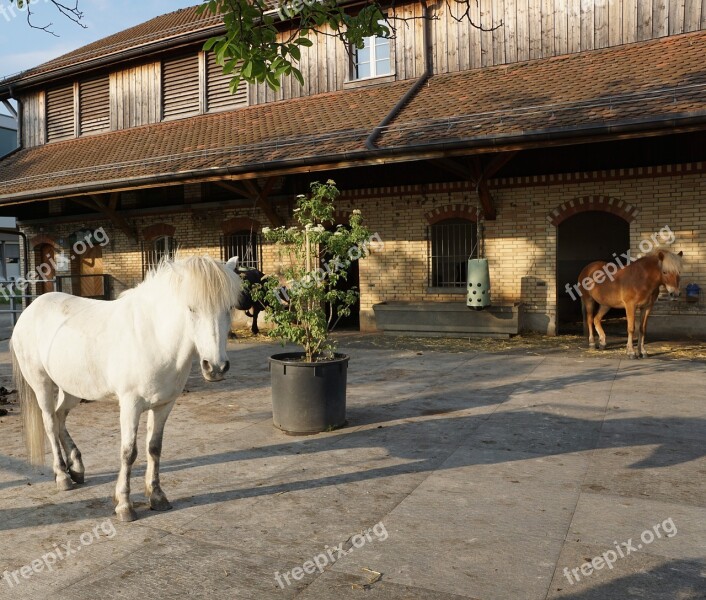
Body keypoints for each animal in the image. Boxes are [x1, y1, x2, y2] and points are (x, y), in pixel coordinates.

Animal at [11, 253, 245, 520]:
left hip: (72, 388)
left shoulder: (164, 405)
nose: (215, 367)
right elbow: (128, 452)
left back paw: (77, 468)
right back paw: (62, 476)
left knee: (60, 417)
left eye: (229, 308)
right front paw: (124, 505)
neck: (154, 338)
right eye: (191, 308)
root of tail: (30, 309)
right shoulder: (130, 405)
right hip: (41, 383)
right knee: (50, 423)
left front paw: (157, 496)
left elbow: (154, 448)